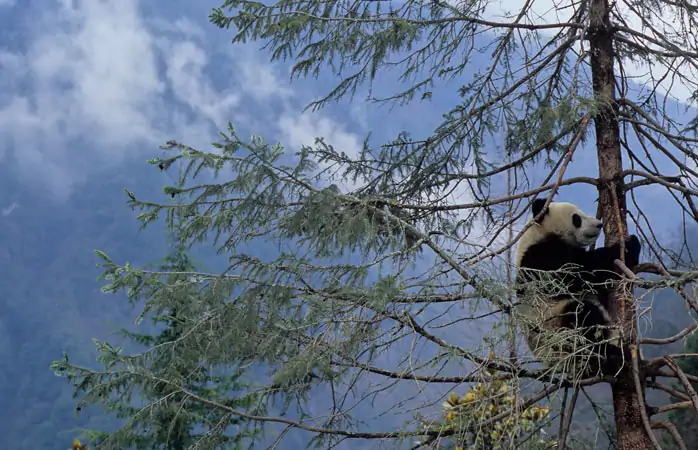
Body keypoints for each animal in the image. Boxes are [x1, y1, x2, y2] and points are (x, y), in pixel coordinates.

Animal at [512, 199, 640, 378]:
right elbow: (583, 272)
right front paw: (629, 245)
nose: (599, 224)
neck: (538, 233)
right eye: (577, 218)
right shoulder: (542, 260)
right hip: (556, 330)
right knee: (582, 315)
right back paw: (608, 353)